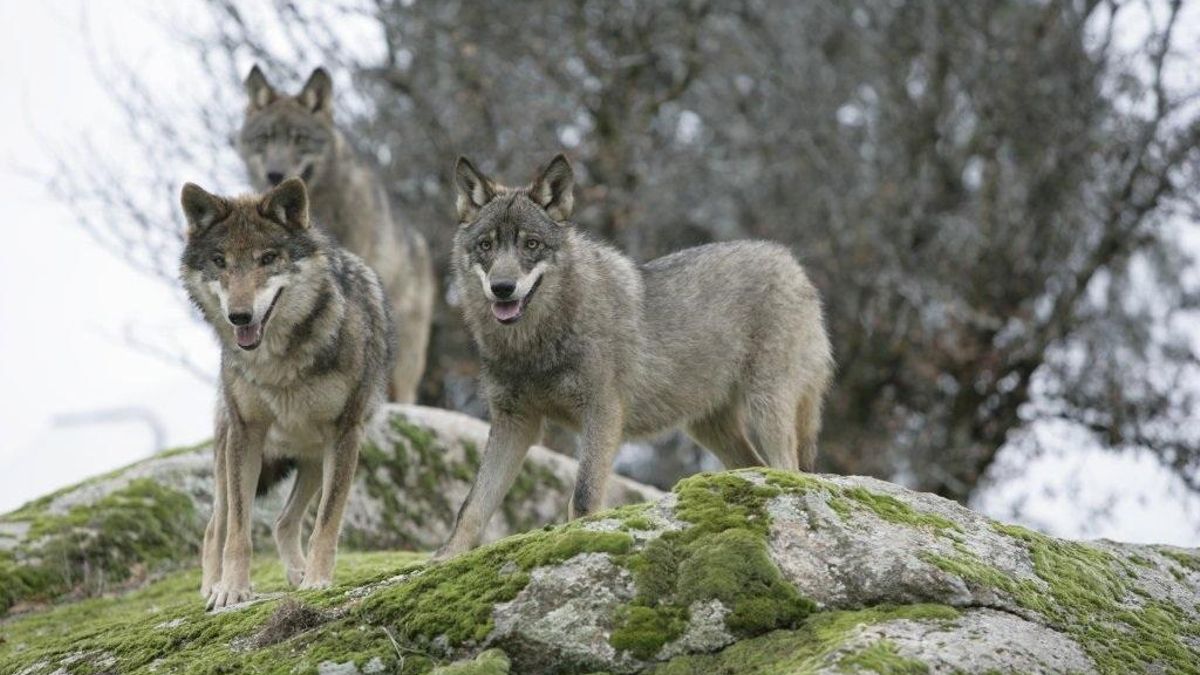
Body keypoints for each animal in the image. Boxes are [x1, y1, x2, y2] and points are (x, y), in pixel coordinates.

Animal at [180, 178, 393, 609]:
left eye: (267, 258)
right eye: (220, 261)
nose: (239, 316)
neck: (277, 363)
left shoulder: (346, 433)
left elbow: (326, 522)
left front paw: (316, 581)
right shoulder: (246, 434)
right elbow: (239, 531)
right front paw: (232, 590)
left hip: (314, 458)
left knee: (283, 521)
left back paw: (297, 573)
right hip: (229, 454)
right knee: (216, 527)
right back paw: (211, 586)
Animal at [436, 155, 834, 558]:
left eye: (531, 244)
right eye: (486, 245)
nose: (502, 288)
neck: (533, 345)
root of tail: (791, 262)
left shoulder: (602, 412)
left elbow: (583, 497)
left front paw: (578, 540)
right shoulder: (514, 422)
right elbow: (472, 507)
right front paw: (444, 559)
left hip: (766, 406)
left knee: (789, 469)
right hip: (709, 427)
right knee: (757, 467)